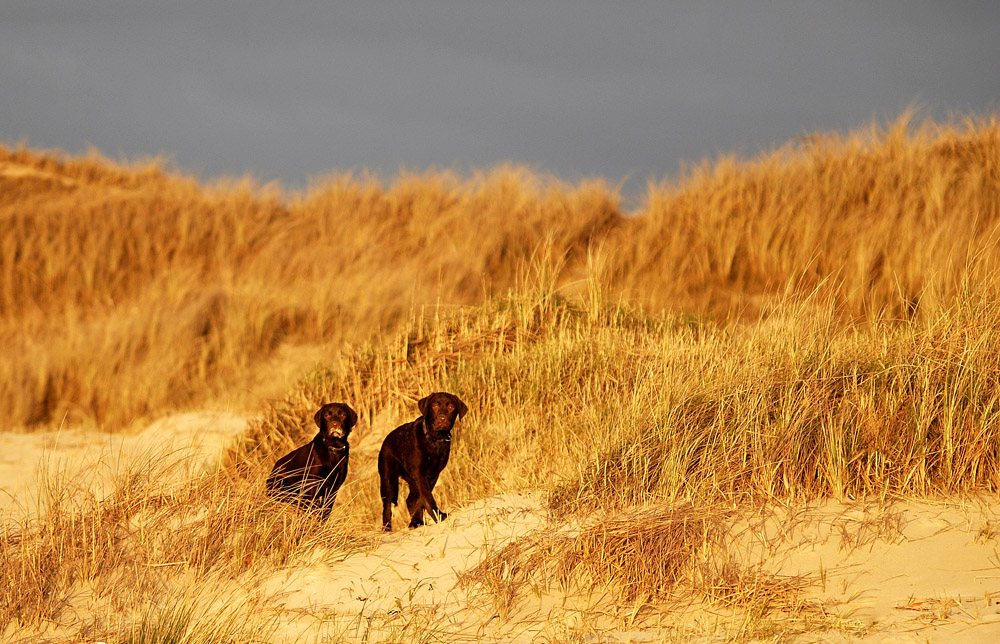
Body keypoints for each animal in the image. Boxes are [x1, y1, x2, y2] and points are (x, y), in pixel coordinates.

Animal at [378, 390, 468, 532]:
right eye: (435, 406)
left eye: (451, 406)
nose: (442, 418)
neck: (435, 440)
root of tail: (386, 440)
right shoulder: (420, 473)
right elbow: (427, 497)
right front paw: (438, 516)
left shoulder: (433, 474)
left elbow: (422, 499)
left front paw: (417, 520)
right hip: (388, 480)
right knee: (387, 506)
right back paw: (387, 529)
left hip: (411, 480)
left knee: (410, 500)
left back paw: (416, 521)